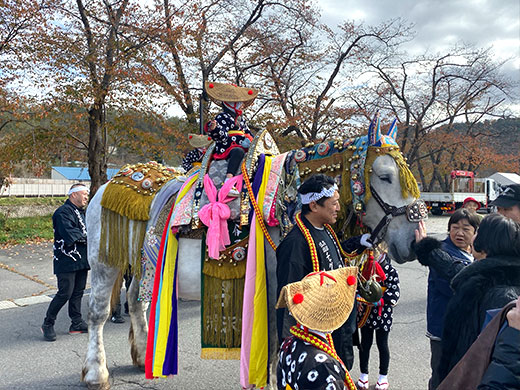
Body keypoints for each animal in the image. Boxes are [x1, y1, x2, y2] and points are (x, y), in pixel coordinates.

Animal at [79, 115, 424, 390]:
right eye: (384, 176)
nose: (415, 239)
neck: (287, 204)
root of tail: (107, 185)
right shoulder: (274, 291)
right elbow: (272, 347)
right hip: (103, 262)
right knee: (98, 312)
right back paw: (96, 374)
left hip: (143, 263)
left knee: (136, 299)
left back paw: (142, 355)